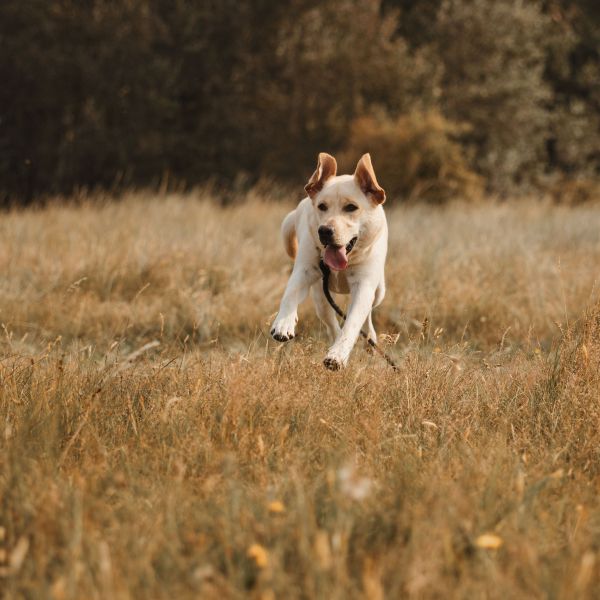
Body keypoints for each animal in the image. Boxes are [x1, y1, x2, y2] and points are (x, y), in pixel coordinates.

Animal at [270, 152, 386, 368]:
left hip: (379, 291)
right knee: (331, 323)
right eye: (322, 206)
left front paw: (338, 355)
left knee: (368, 315)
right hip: (320, 297)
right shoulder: (305, 271)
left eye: (351, 207)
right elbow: (290, 294)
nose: (324, 231)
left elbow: (353, 322)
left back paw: (369, 339)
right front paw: (283, 324)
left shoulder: (364, 285)